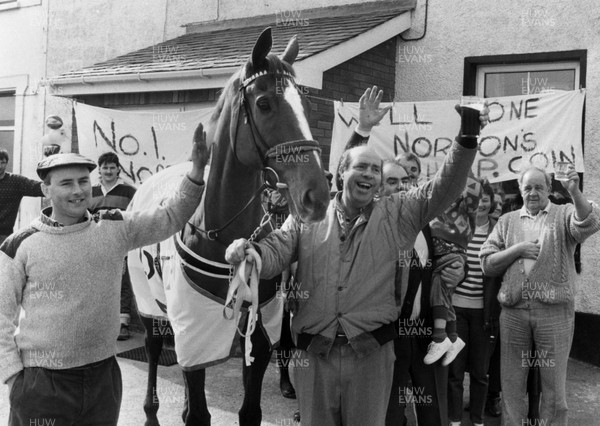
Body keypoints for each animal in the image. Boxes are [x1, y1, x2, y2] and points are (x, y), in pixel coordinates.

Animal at [128, 27, 330, 426]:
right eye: (264, 103)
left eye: (306, 105)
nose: (316, 193)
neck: (220, 235)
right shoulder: (195, 328)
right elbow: (198, 412)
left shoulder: (260, 331)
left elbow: (249, 410)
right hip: (149, 305)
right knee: (154, 347)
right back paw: (151, 412)